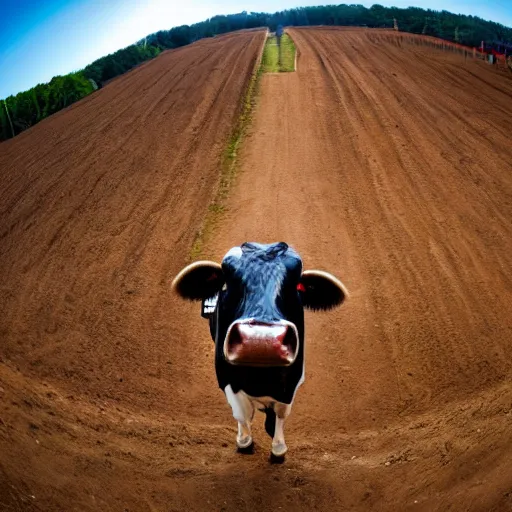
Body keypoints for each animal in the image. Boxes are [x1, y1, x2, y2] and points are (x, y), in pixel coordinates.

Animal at [172, 241, 348, 460]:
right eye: (227, 283)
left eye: (296, 287)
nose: (260, 340)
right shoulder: (225, 376)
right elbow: (242, 412)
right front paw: (245, 442)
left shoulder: (292, 378)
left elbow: (280, 412)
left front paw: (278, 448)